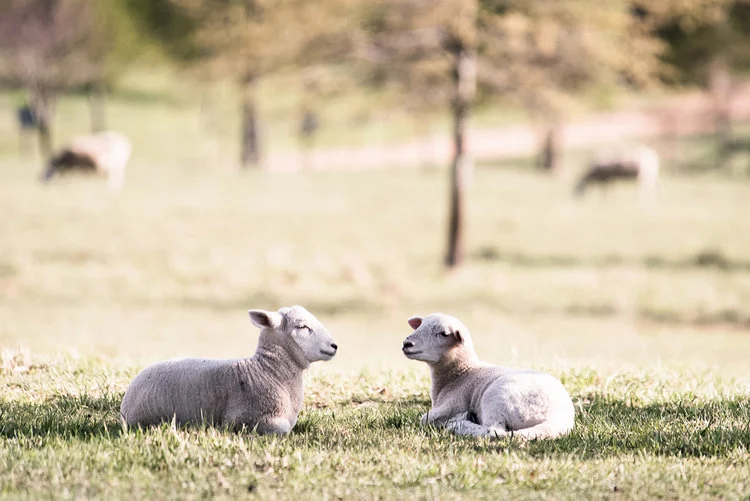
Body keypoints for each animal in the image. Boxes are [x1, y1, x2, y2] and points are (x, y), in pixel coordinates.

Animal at [402, 313, 575, 439]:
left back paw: (459, 424)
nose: (406, 343)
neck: (461, 373)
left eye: (443, 334)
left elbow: (425, 418)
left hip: (497, 397)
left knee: (493, 431)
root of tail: (557, 419)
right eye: (420, 325)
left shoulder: (454, 403)